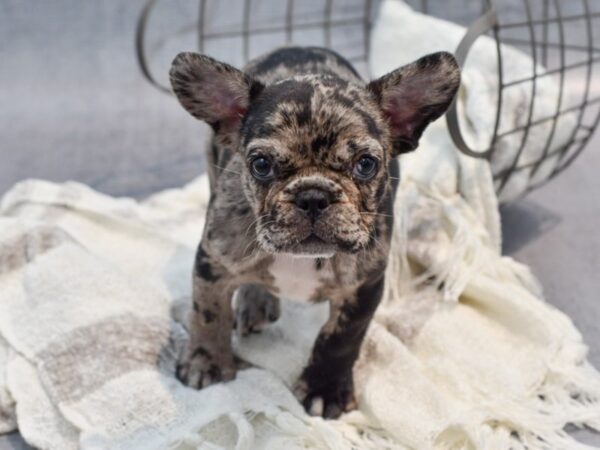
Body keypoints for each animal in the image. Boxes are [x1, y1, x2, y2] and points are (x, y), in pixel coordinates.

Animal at [169, 45, 460, 418]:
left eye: (366, 164)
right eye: (261, 165)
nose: (313, 195)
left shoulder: (363, 287)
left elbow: (340, 339)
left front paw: (325, 388)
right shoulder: (214, 262)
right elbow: (208, 314)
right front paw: (205, 362)